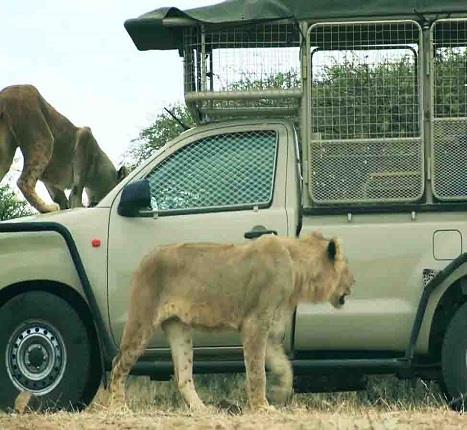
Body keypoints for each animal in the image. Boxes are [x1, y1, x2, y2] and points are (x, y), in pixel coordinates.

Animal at [0, 84, 127, 213]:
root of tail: (4, 94)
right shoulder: (83, 144)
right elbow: (75, 194)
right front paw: (79, 207)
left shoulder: (50, 182)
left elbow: (61, 198)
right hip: (43, 139)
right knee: (24, 182)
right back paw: (48, 208)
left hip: (5, 155)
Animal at [109, 232, 354, 414]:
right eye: (347, 268)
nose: (354, 281)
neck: (298, 272)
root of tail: (146, 256)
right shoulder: (255, 324)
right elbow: (257, 371)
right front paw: (262, 407)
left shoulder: (271, 332)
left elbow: (284, 366)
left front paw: (280, 392)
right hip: (142, 320)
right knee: (118, 363)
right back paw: (117, 407)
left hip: (179, 328)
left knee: (183, 376)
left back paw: (202, 409)